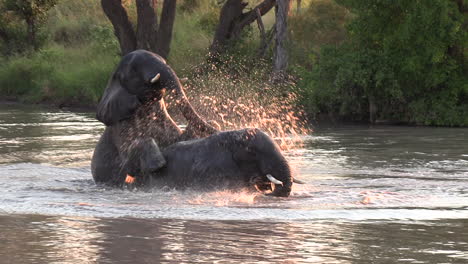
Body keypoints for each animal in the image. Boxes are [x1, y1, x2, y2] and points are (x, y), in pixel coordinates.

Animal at [92, 49, 218, 186]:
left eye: (164, 60)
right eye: (133, 70)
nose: (219, 130)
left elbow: (180, 139)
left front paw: (213, 124)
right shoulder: (121, 127)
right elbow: (125, 168)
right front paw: (157, 164)